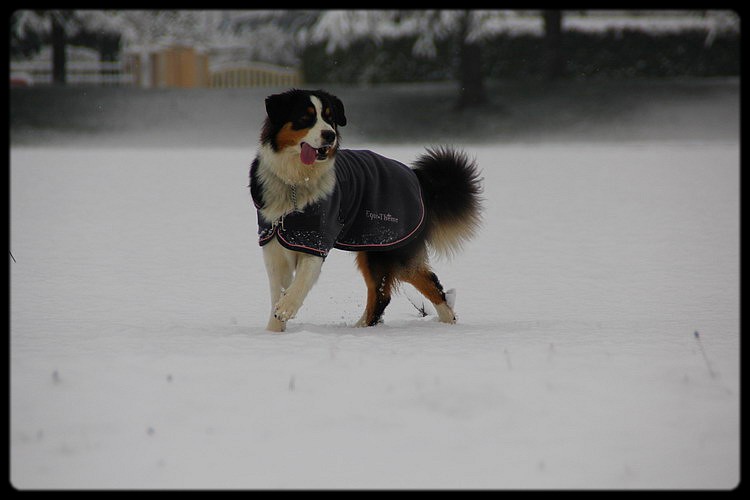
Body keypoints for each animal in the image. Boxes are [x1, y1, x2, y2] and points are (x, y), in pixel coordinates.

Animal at [250, 89, 484, 332]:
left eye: (330, 118)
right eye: (306, 118)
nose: (330, 135)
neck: (294, 182)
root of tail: (417, 178)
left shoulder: (314, 240)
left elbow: (300, 282)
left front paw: (286, 308)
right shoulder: (273, 243)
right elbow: (278, 290)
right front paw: (274, 331)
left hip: (385, 248)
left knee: (395, 293)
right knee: (406, 288)